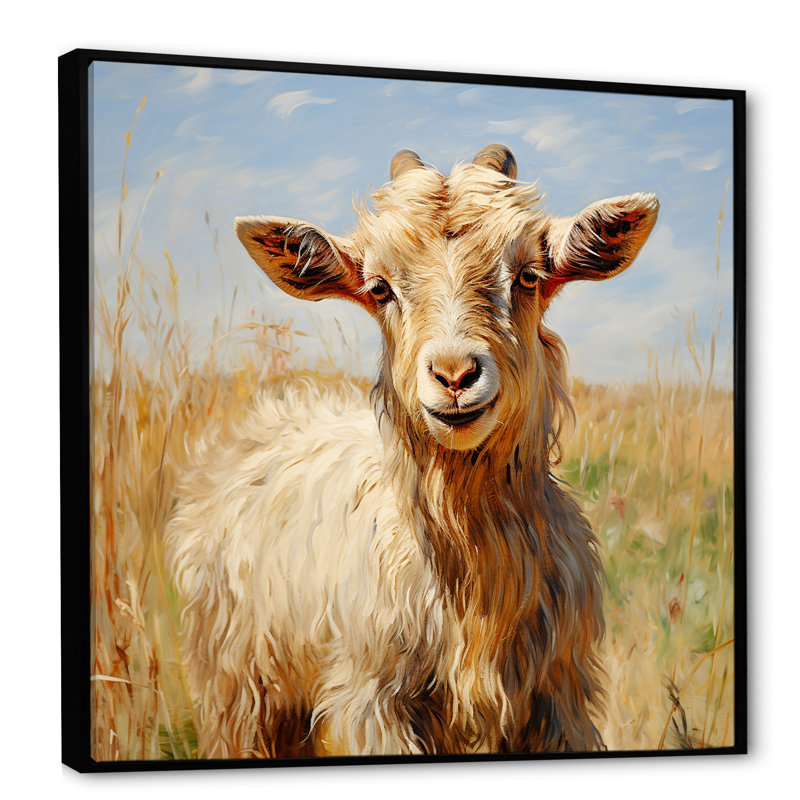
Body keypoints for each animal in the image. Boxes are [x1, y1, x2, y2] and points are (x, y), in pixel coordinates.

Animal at [166, 145, 658, 758]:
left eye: (528, 275)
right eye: (380, 288)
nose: (455, 374)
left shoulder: (558, 695)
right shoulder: (375, 700)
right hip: (236, 685)